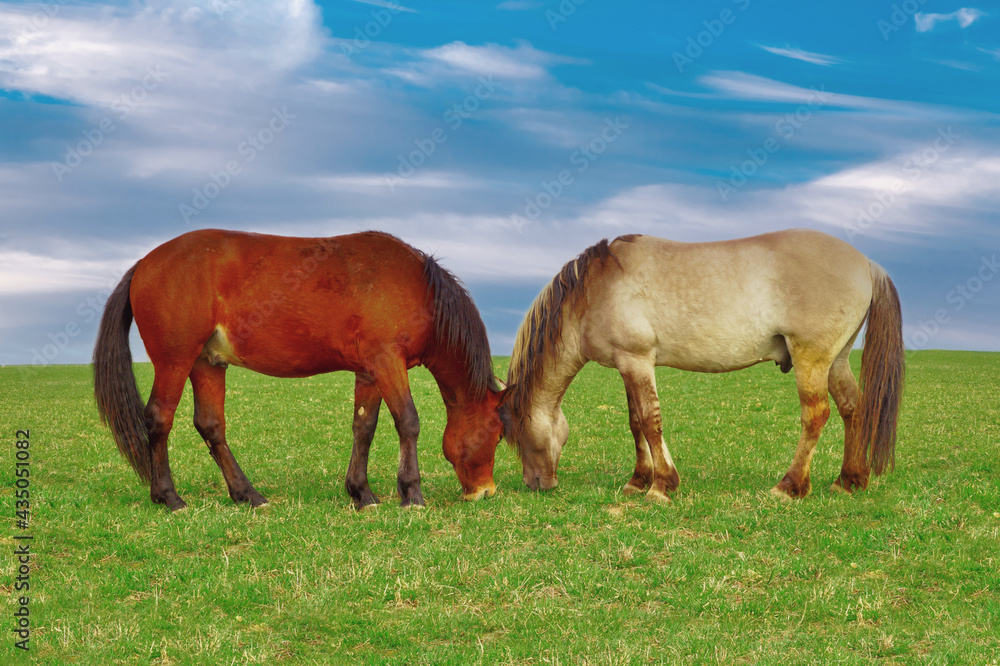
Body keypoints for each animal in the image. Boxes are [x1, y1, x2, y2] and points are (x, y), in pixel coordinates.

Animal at [94, 228, 508, 508]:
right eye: (500, 433)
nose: (486, 491)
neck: (421, 290)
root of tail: (145, 263)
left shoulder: (370, 371)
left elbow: (364, 427)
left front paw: (362, 493)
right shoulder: (388, 362)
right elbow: (408, 421)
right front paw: (412, 493)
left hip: (206, 363)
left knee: (211, 426)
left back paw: (247, 494)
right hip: (175, 360)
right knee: (158, 419)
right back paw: (169, 497)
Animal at [500, 228, 908, 498]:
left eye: (513, 432)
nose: (536, 483)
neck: (594, 289)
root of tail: (868, 264)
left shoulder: (636, 361)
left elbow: (650, 421)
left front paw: (660, 486)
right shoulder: (628, 365)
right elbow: (635, 423)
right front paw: (638, 480)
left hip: (812, 360)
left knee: (816, 415)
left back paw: (790, 486)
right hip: (836, 361)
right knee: (854, 408)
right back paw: (849, 480)